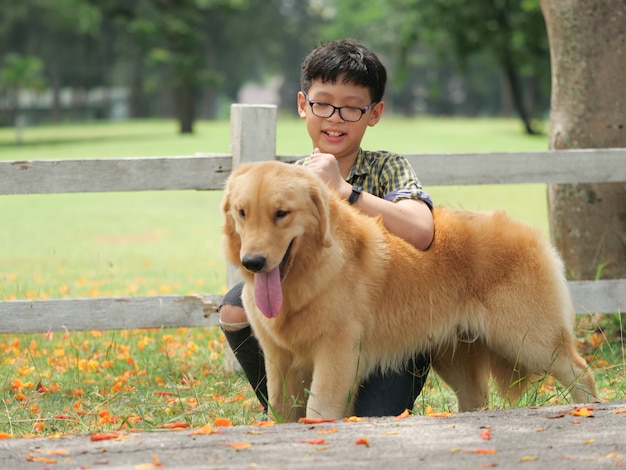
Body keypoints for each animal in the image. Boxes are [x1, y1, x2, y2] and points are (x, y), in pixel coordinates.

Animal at [221, 161, 596, 422]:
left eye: (281, 213)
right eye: (242, 213)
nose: (252, 262)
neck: (309, 271)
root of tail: (530, 233)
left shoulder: (335, 354)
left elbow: (319, 410)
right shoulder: (279, 360)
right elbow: (282, 411)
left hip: (528, 339)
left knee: (581, 372)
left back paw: (589, 409)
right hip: (456, 356)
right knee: (477, 399)